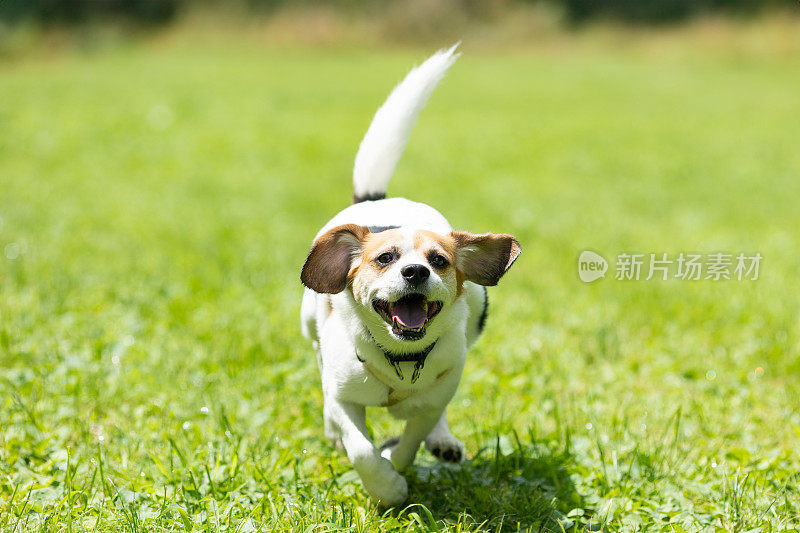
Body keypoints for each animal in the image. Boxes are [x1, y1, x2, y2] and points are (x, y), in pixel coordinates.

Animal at [300, 43, 520, 504]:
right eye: (385, 258)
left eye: (439, 261)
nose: (416, 271)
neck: (400, 359)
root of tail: (377, 198)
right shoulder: (346, 397)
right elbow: (360, 448)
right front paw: (387, 489)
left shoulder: (436, 392)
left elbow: (411, 438)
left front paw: (397, 465)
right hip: (310, 325)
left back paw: (443, 441)